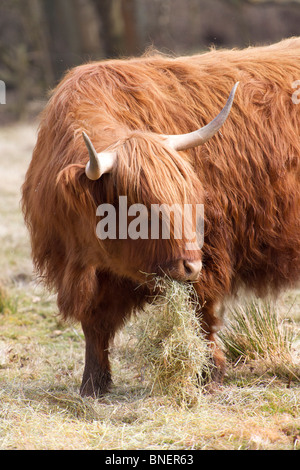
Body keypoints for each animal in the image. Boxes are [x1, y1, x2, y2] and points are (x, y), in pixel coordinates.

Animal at [21, 37, 300, 396]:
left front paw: (208, 374)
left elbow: (201, 313)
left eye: (190, 197)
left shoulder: (210, 255)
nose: (190, 265)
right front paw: (93, 384)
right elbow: (94, 324)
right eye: (138, 208)